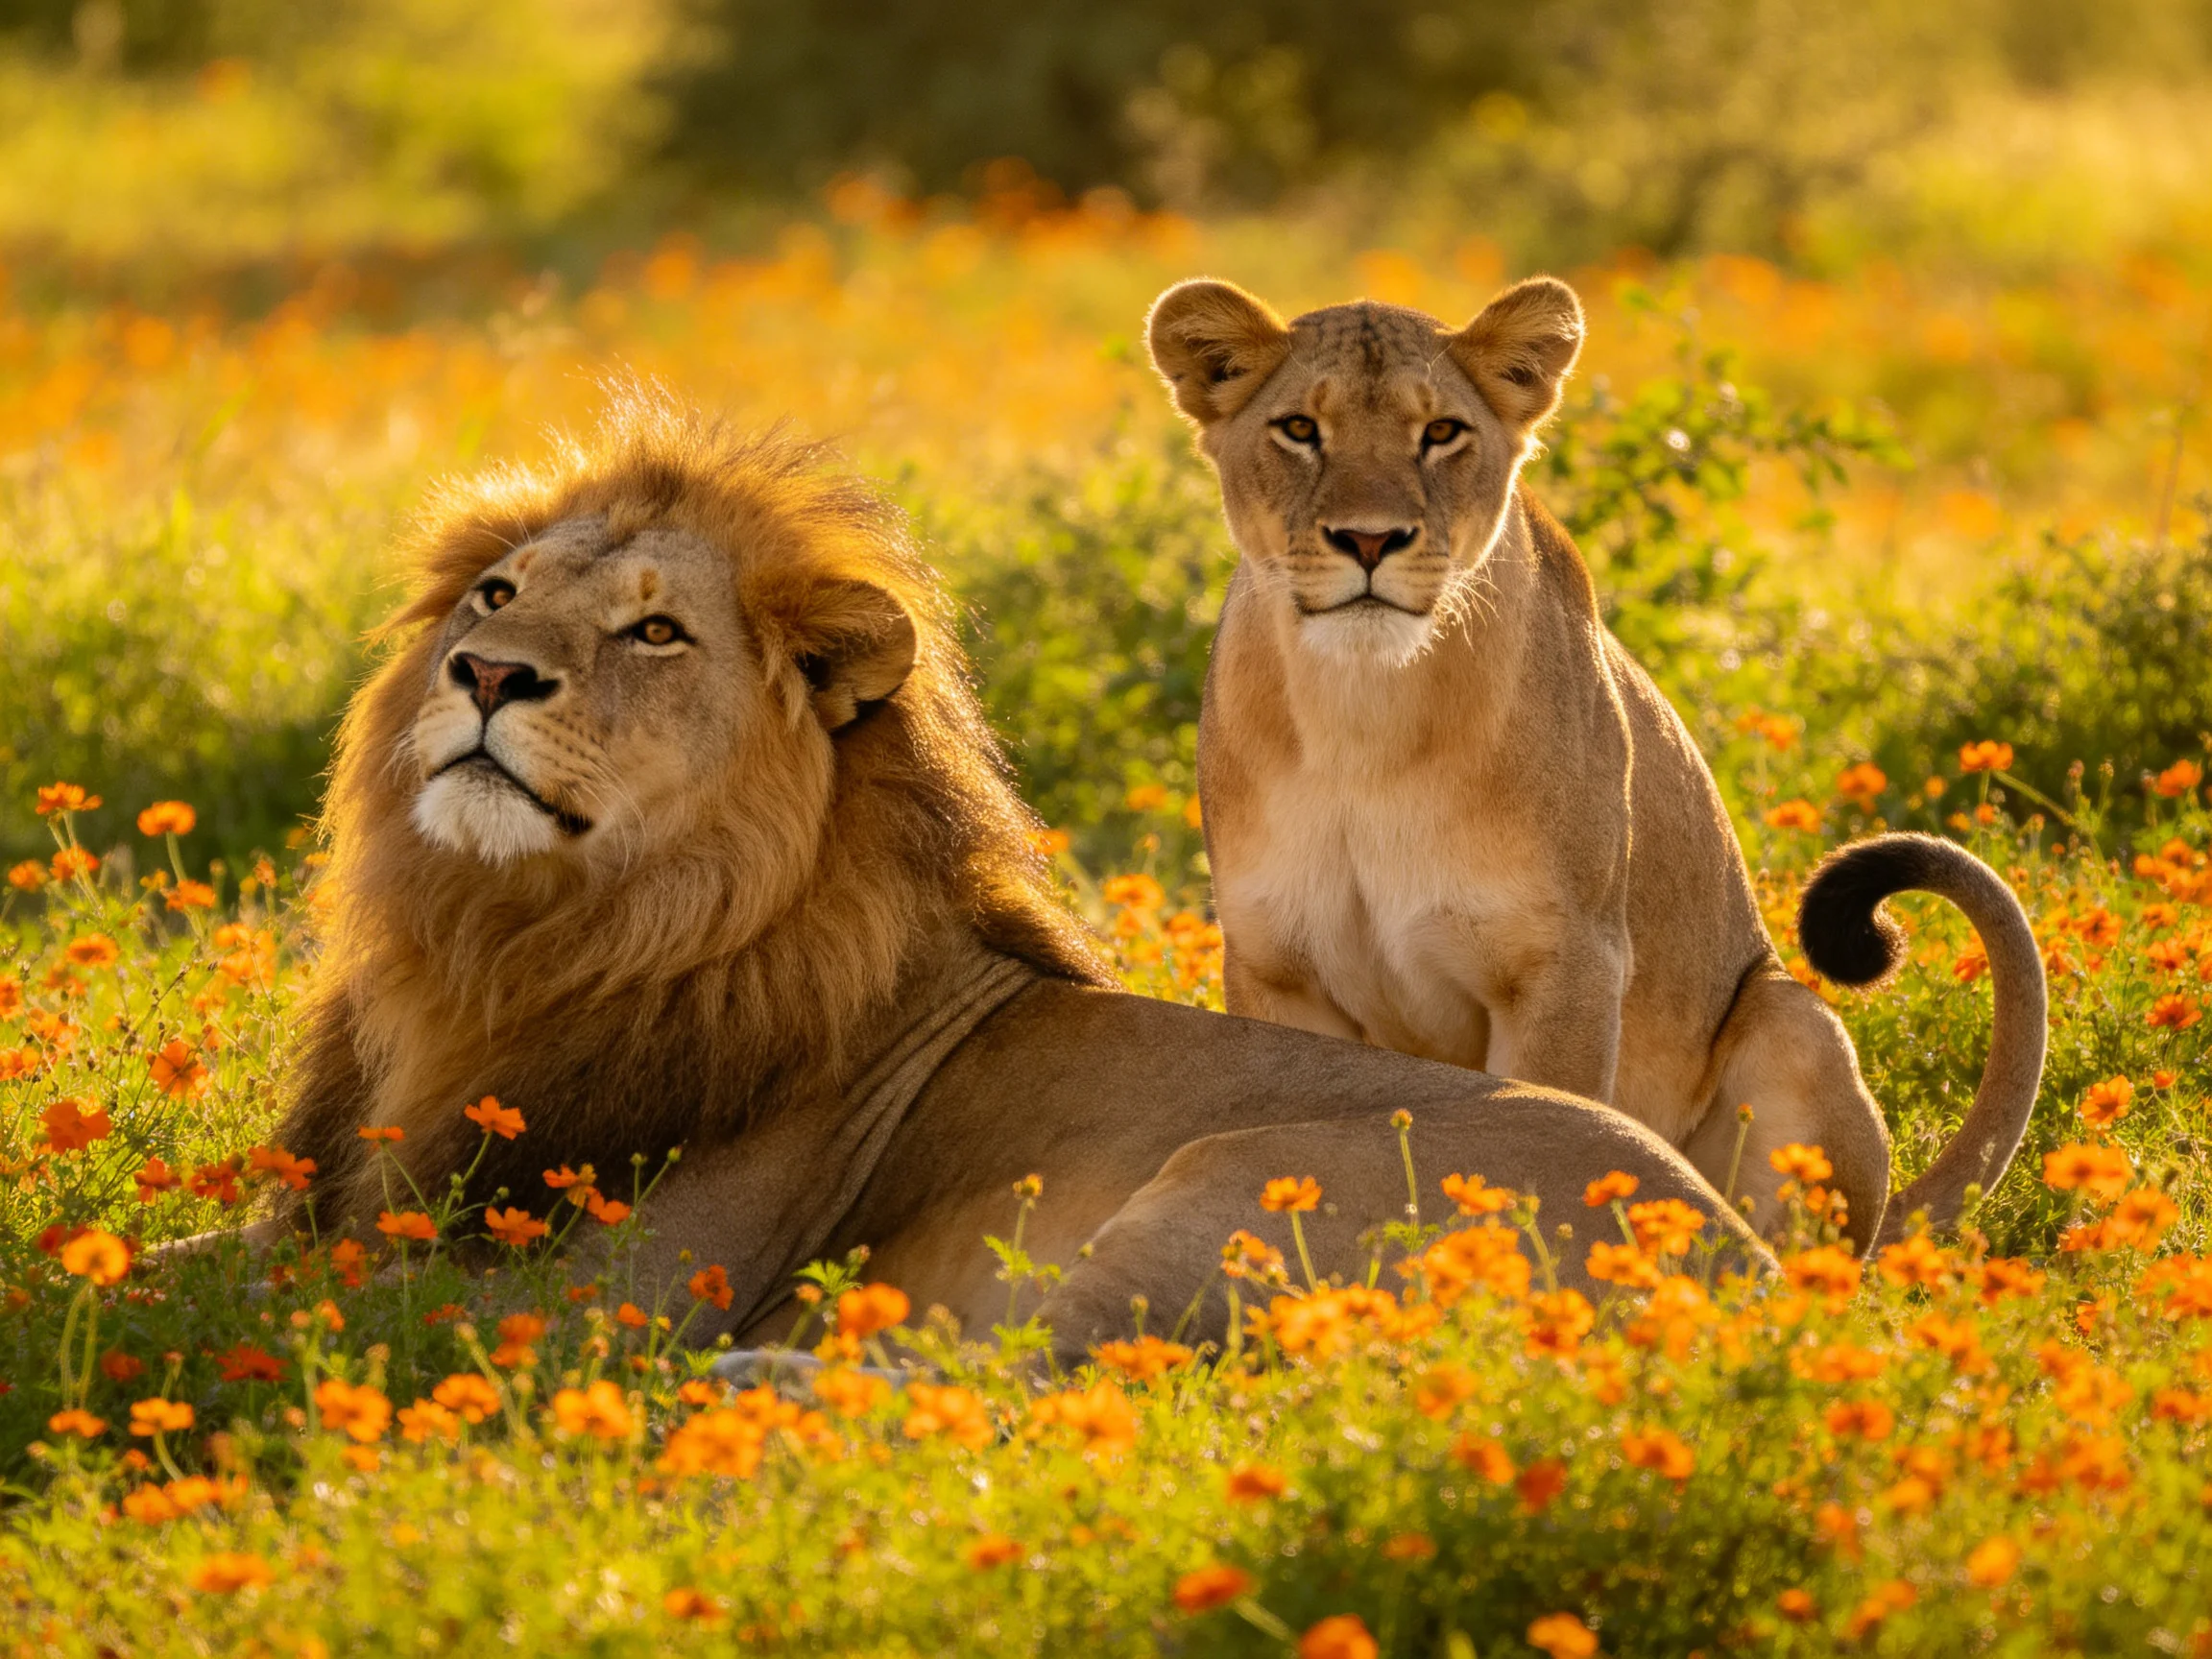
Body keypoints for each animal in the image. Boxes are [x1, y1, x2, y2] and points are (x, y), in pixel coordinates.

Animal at [269, 386, 1772, 1362]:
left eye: (654, 632)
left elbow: (306, 1315)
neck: (527, 937)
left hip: (1223, 1189)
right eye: (497, 596)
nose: (486, 674)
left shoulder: (612, 1283)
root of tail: (1750, 1275)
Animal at [1146, 275, 2047, 1251]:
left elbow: (1551, 1124)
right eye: (1300, 428)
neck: (1362, 713)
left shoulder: (1567, 962)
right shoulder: (1277, 966)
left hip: (1791, 1020)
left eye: (1442, 432)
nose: (1371, 539)